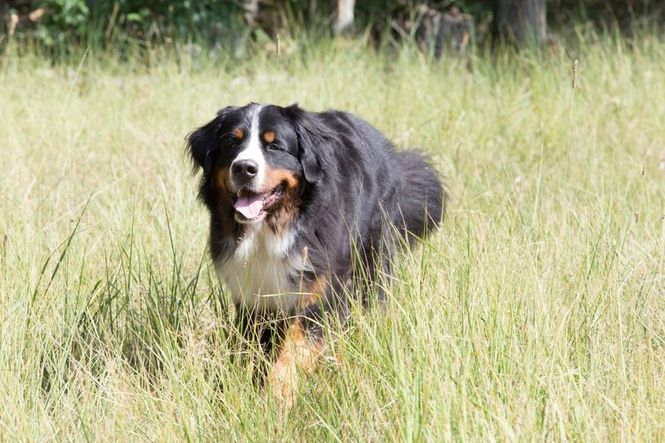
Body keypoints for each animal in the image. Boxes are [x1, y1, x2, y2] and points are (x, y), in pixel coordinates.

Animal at [185, 103, 446, 406]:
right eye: (231, 143)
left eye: (275, 146)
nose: (244, 168)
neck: (272, 229)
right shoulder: (252, 292)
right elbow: (254, 347)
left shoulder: (320, 286)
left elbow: (297, 347)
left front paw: (277, 396)